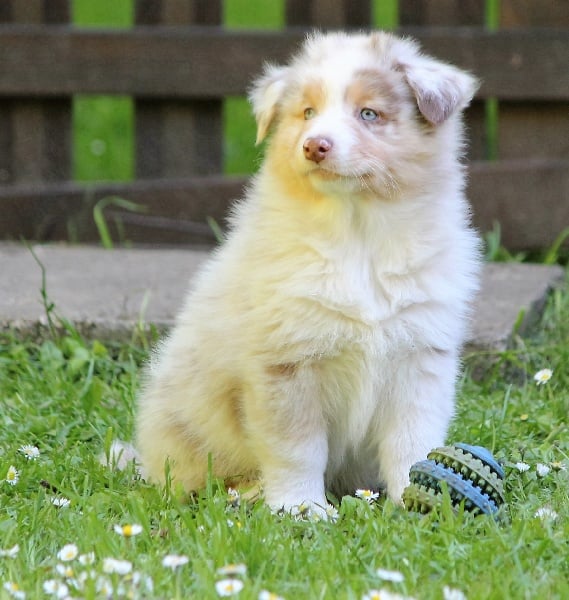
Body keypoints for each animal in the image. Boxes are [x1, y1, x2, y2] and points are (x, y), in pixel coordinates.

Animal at [133, 30, 480, 512]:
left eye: (368, 114)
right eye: (307, 113)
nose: (315, 145)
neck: (357, 234)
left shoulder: (420, 356)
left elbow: (411, 441)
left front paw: (414, 502)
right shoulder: (286, 364)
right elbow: (297, 448)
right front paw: (302, 511)